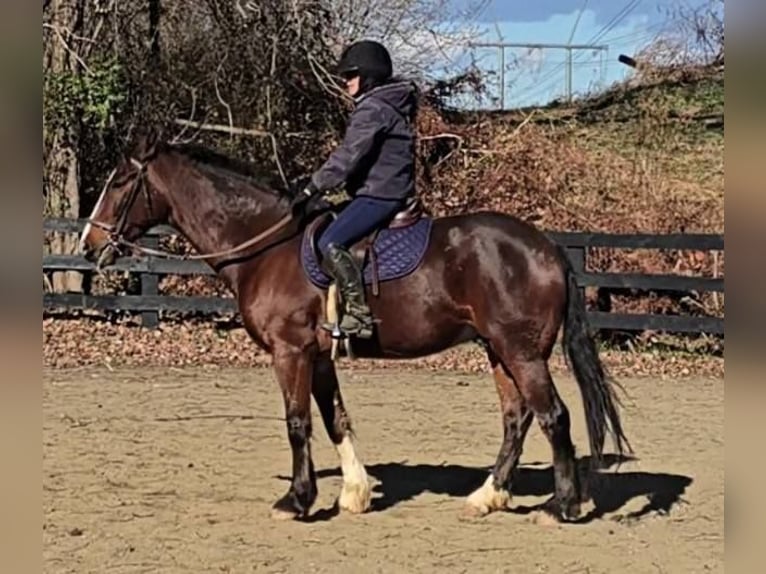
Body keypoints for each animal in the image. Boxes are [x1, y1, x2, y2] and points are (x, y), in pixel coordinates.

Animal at [79, 131, 631, 523]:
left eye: (119, 183)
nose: (88, 244)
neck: (266, 246)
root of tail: (548, 246)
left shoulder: (290, 352)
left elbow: (297, 423)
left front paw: (297, 500)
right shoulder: (319, 356)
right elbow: (334, 419)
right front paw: (354, 493)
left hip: (521, 352)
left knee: (554, 416)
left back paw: (560, 507)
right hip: (499, 350)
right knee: (516, 419)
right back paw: (487, 497)